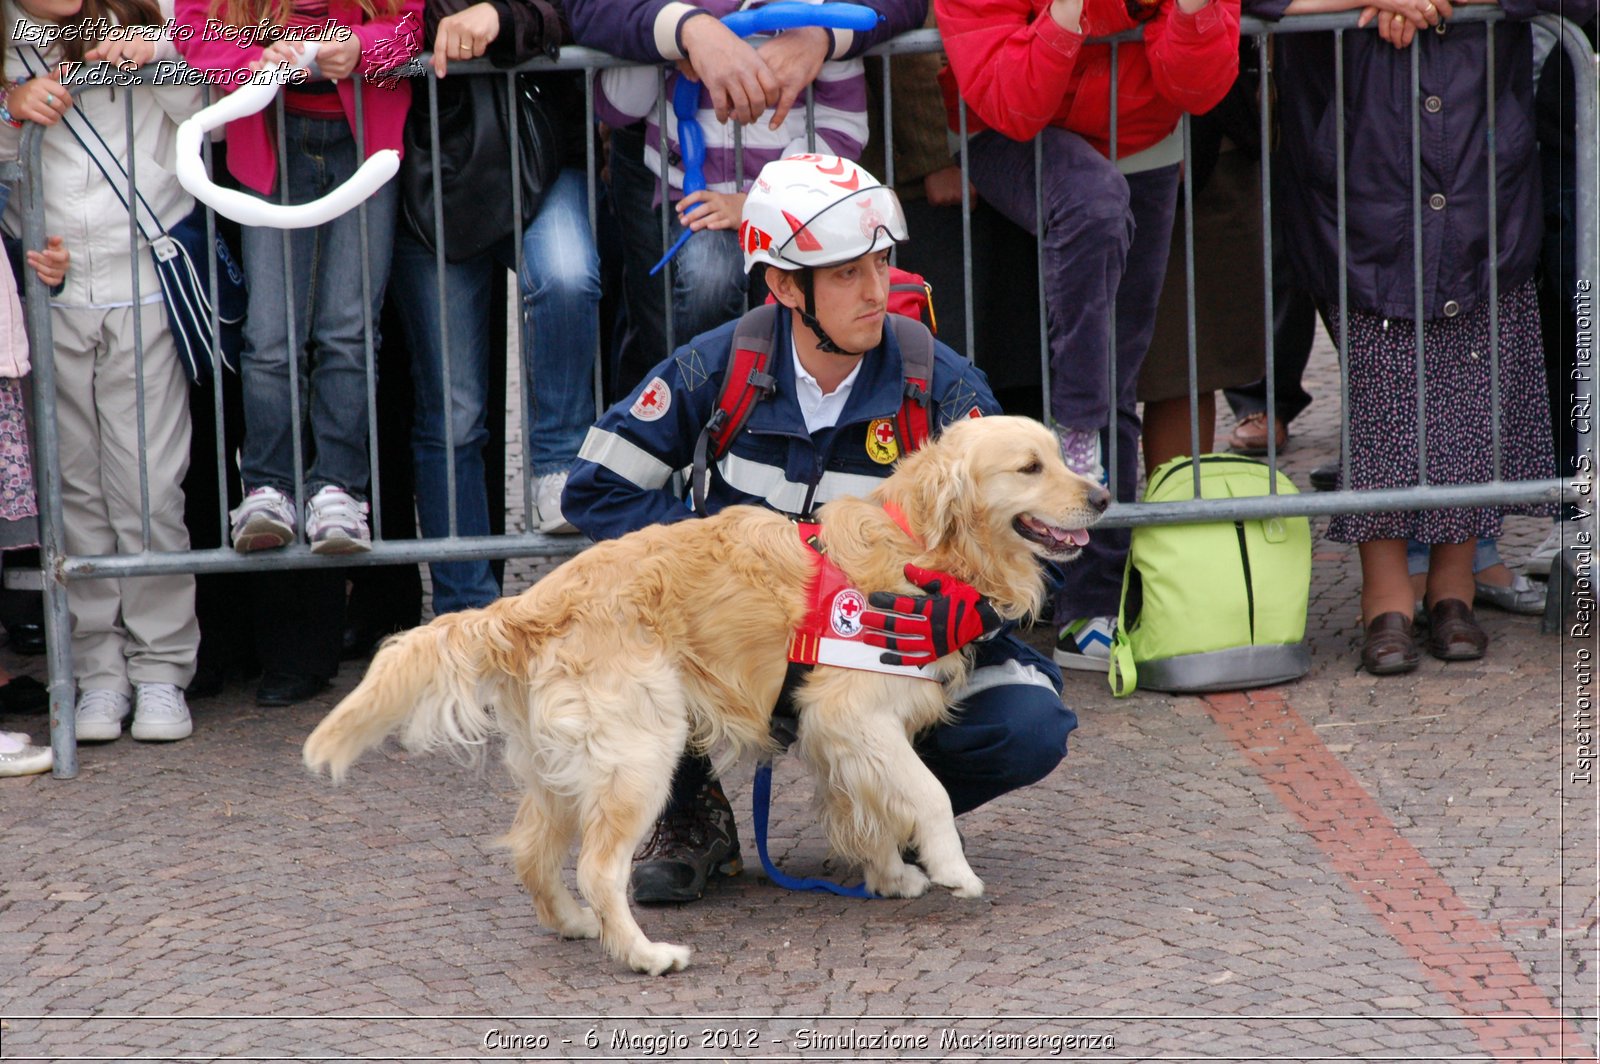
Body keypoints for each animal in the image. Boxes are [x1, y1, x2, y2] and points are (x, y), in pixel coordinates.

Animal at [300, 412, 1107, 972]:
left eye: (1058, 453)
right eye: (1031, 466)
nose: (1101, 496)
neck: (920, 549)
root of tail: (527, 604)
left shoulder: (837, 733)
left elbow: (867, 806)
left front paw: (888, 875)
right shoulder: (851, 713)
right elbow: (929, 795)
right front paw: (950, 870)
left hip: (564, 768)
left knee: (533, 853)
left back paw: (576, 924)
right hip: (640, 752)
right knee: (598, 868)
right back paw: (644, 955)